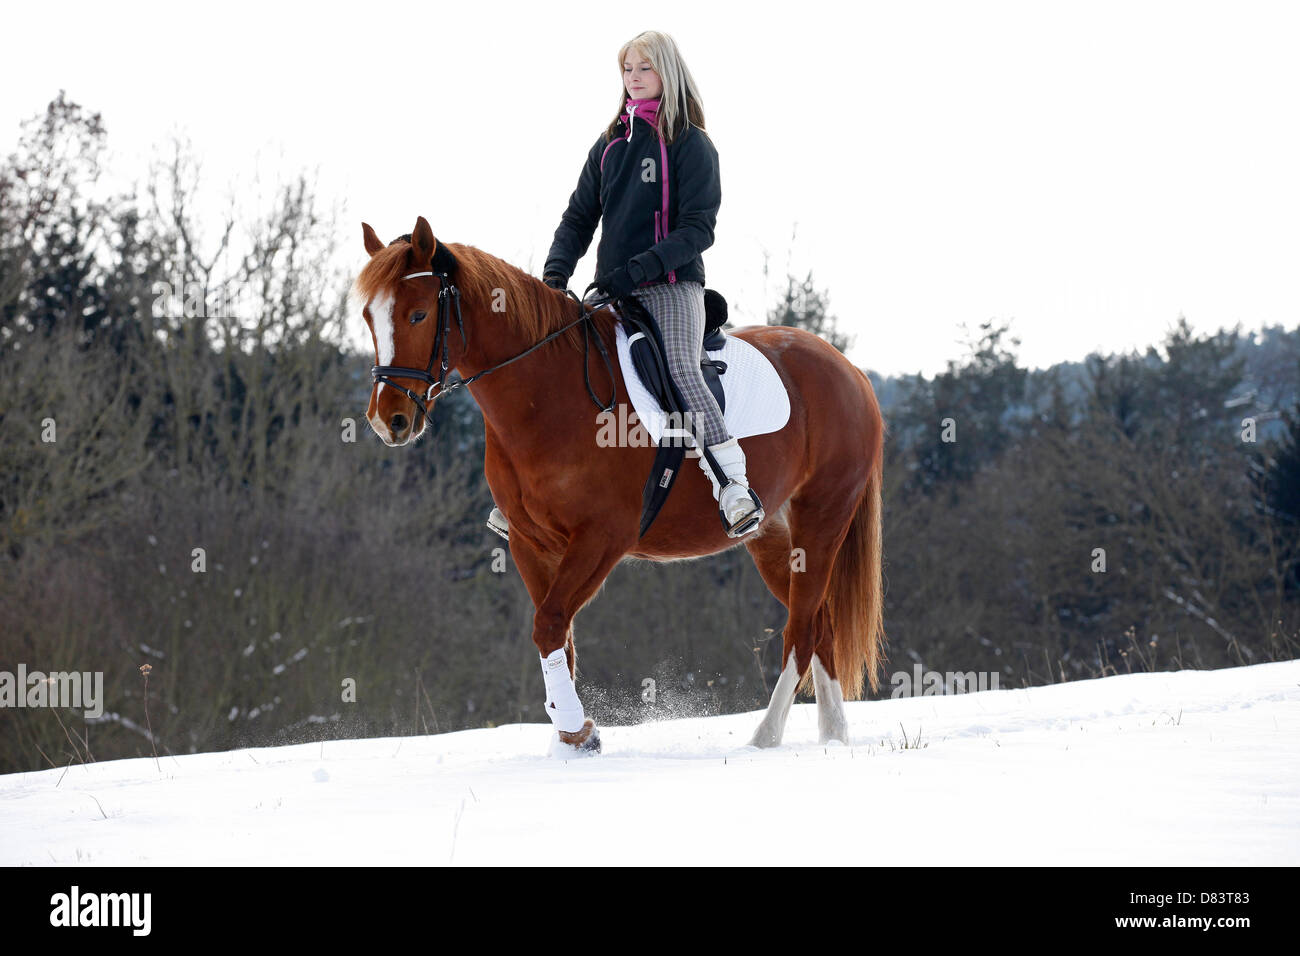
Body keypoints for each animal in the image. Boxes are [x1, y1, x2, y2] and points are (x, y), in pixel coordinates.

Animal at [356, 217, 883, 754]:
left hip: (821, 519)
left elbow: (549, 624)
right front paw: (570, 737)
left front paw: (575, 729)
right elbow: (559, 636)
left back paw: (764, 738)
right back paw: (833, 736)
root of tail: (849, 370)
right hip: (774, 537)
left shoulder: (601, 539)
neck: (546, 394)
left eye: (419, 314)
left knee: (801, 632)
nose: (387, 420)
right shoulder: (531, 543)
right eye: (368, 316)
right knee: (820, 625)